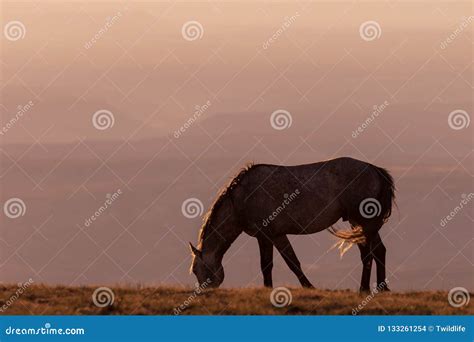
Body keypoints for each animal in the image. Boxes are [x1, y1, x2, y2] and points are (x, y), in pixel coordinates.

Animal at [188, 156, 392, 292]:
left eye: (196, 270)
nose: (203, 293)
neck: (242, 199)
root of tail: (375, 170)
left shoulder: (268, 236)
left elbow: (277, 264)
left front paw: (300, 287)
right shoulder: (271, 236)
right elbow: (282, 263)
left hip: (364, 222)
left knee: (372, 253)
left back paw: (371, 289)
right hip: (359, 223)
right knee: (375, 251)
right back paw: (374, 288)